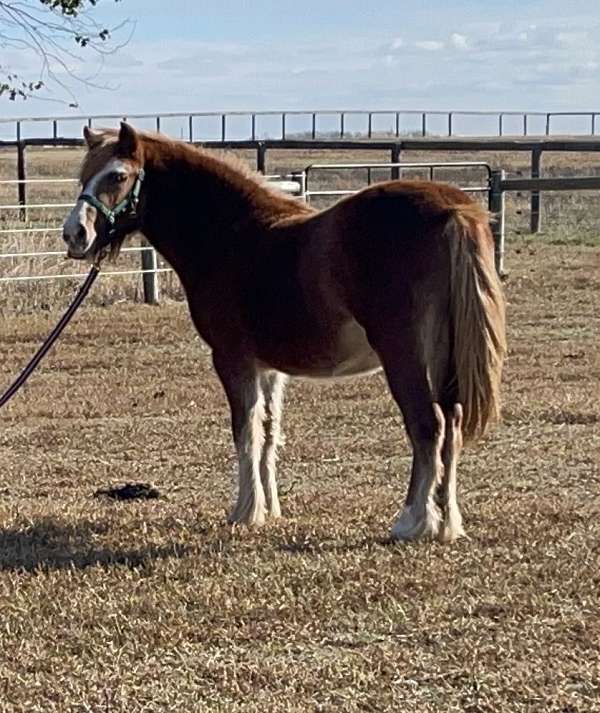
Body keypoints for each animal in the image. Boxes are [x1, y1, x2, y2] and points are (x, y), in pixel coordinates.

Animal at [63, 122, 506, 540]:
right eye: (83, 174)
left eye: (118, 175)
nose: (74, 234)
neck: (231, 236)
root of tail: (453, 210)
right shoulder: (269, 368)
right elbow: (268, 432)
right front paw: (269, 508)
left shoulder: (233, 359)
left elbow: (244, 432)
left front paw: (244, 512)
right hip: (446, 358)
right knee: (452, 426)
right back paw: (447, 521)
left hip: (405, 356)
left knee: (427, 426)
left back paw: (414, 522)